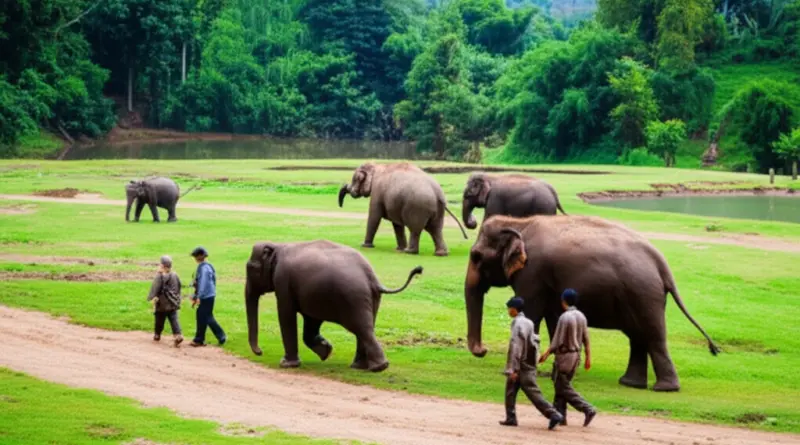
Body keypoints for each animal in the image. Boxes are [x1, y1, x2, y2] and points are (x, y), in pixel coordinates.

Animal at [245, 239, 423, 372]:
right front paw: (326, 351)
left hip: (352, 297)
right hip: (372, 298)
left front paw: (286, 364)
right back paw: (360, 367)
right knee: (366, 327)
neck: (278, 245)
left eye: (251, 268)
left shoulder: (283, 280)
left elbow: (286, 314)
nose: (260, 352)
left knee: (362, 328)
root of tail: (372, 278)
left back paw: (378, 367)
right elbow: (311, 320)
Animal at [338, 162, 468, 256]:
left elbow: (374, 217)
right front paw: (399, 248)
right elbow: (397, 224)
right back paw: (441, 253)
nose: (340, 205)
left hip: (417, 207)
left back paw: (409, 251)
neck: (377, 165)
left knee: (415, 229)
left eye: (354, 179)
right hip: (437, 210)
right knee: (436, 229)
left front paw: (365, 246)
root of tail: (438, 194)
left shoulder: (377, 192)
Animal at [464, 214, 719, 392]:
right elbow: (554, 319)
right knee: (637, 337)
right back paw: (630, 383)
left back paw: (664, 389)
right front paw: (555, 371)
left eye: (476, 256)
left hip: (643, 293)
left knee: (652, 336)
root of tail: (661, 263)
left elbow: (532, 316)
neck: (519, 222)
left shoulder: (532, 273)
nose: (483, 350)